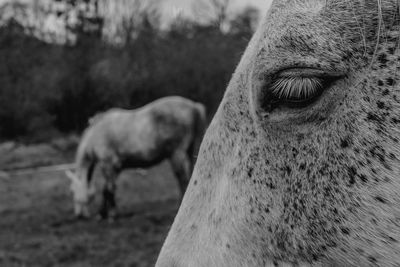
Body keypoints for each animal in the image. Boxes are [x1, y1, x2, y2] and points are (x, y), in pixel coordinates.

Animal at [65, 97, 206, 219]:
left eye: (72, 191)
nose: (79, 215)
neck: (95, 135)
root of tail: (194, 106)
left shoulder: (108, 164)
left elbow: (108, 190)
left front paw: (110, 215)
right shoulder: (115, 167)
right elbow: (109, 188)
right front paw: (104, 213)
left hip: (177, 154)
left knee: (182, 178)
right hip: (189, 151)